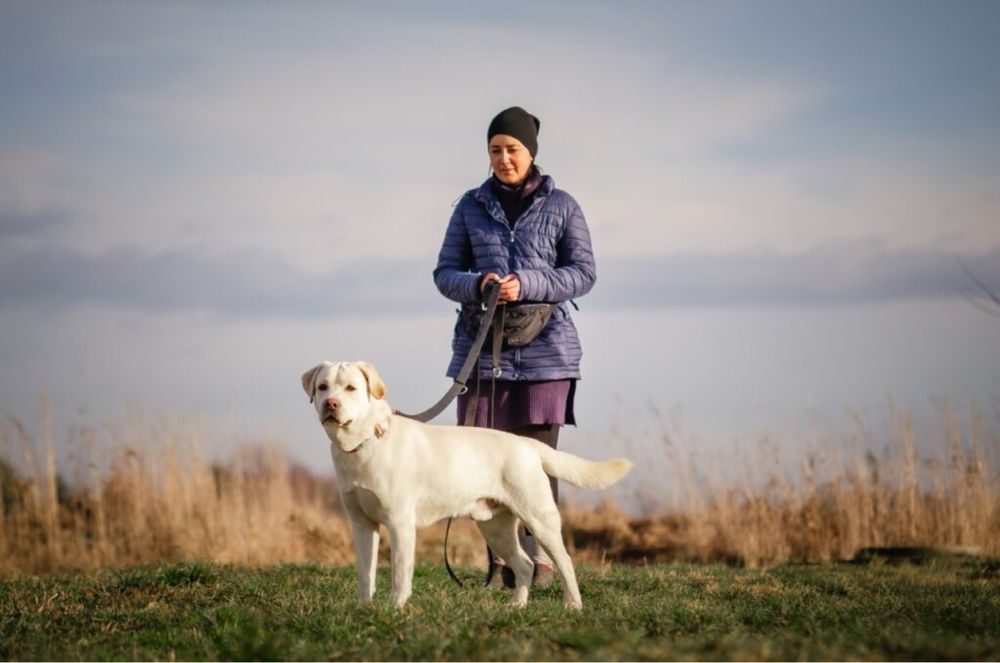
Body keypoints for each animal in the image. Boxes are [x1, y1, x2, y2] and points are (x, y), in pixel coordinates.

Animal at [298, 360, 632, 608]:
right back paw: (516, 607)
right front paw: (364, 608)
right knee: (523, 565)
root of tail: (528, 444)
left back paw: (572, 605)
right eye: (323, 386)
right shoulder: (361, 523)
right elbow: (365, 572)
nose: (331, 404)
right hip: (494, 527)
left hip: (540, 519)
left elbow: (399, 573)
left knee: (564, 561)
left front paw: (395, 608)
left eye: (351, 388)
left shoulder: (399, 522)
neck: (364, 443)